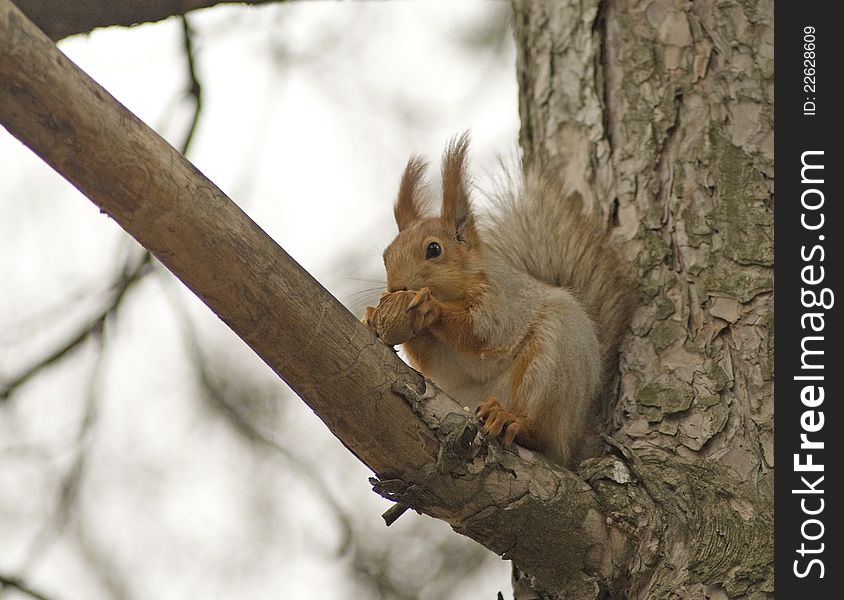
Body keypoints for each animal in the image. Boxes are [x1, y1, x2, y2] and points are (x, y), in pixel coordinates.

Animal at [362, 136, 632, 468]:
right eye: (386, 256)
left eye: (434, 249)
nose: (397, 288)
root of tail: (574, 439)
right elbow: (432, 360)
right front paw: (374, 317)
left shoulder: (503, 300)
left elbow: (480, 332)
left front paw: (430, 308)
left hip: (553, 363)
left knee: (541, 434)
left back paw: (512, 420)